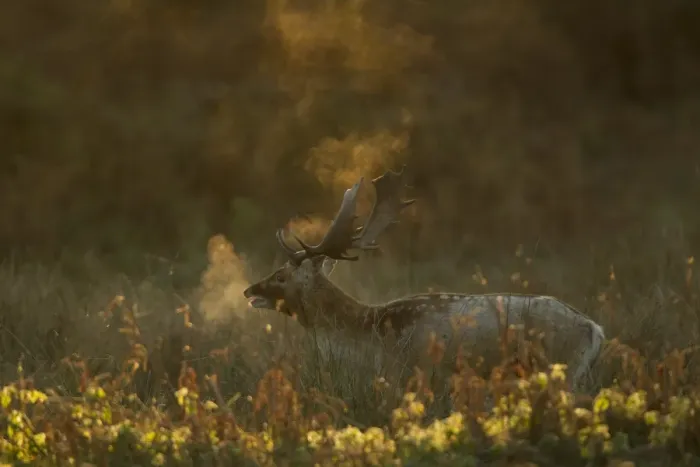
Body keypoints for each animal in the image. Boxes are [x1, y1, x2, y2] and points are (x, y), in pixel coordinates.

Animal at [243, 167, 605, 392]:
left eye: (280, 276)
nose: (248, 290)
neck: (368, 335)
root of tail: (595, 329)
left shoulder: (412, 371)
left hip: (558, 366)